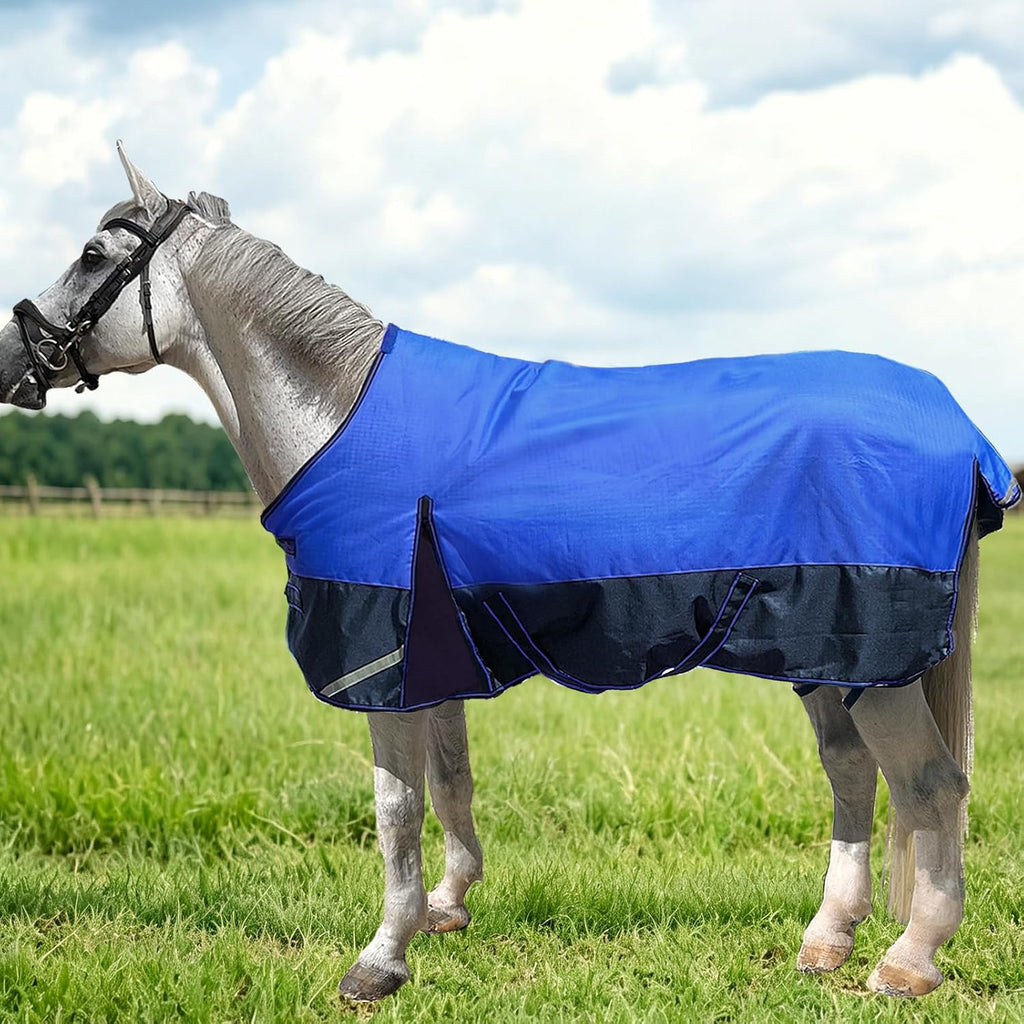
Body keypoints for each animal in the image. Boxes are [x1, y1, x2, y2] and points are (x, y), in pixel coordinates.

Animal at [1, 146, 1017, 1002]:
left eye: (92, 255)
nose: (15, 356)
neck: (341, 412)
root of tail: (958, 425)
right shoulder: (436, 660)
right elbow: (452, 779)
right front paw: (446, 909)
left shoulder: (385, 662)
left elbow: (396, 807)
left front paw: (381, 957)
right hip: (824, 660)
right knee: (852, 778)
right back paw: (826, 940)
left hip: (872, 663)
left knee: (931, 787)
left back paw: (909, 959)